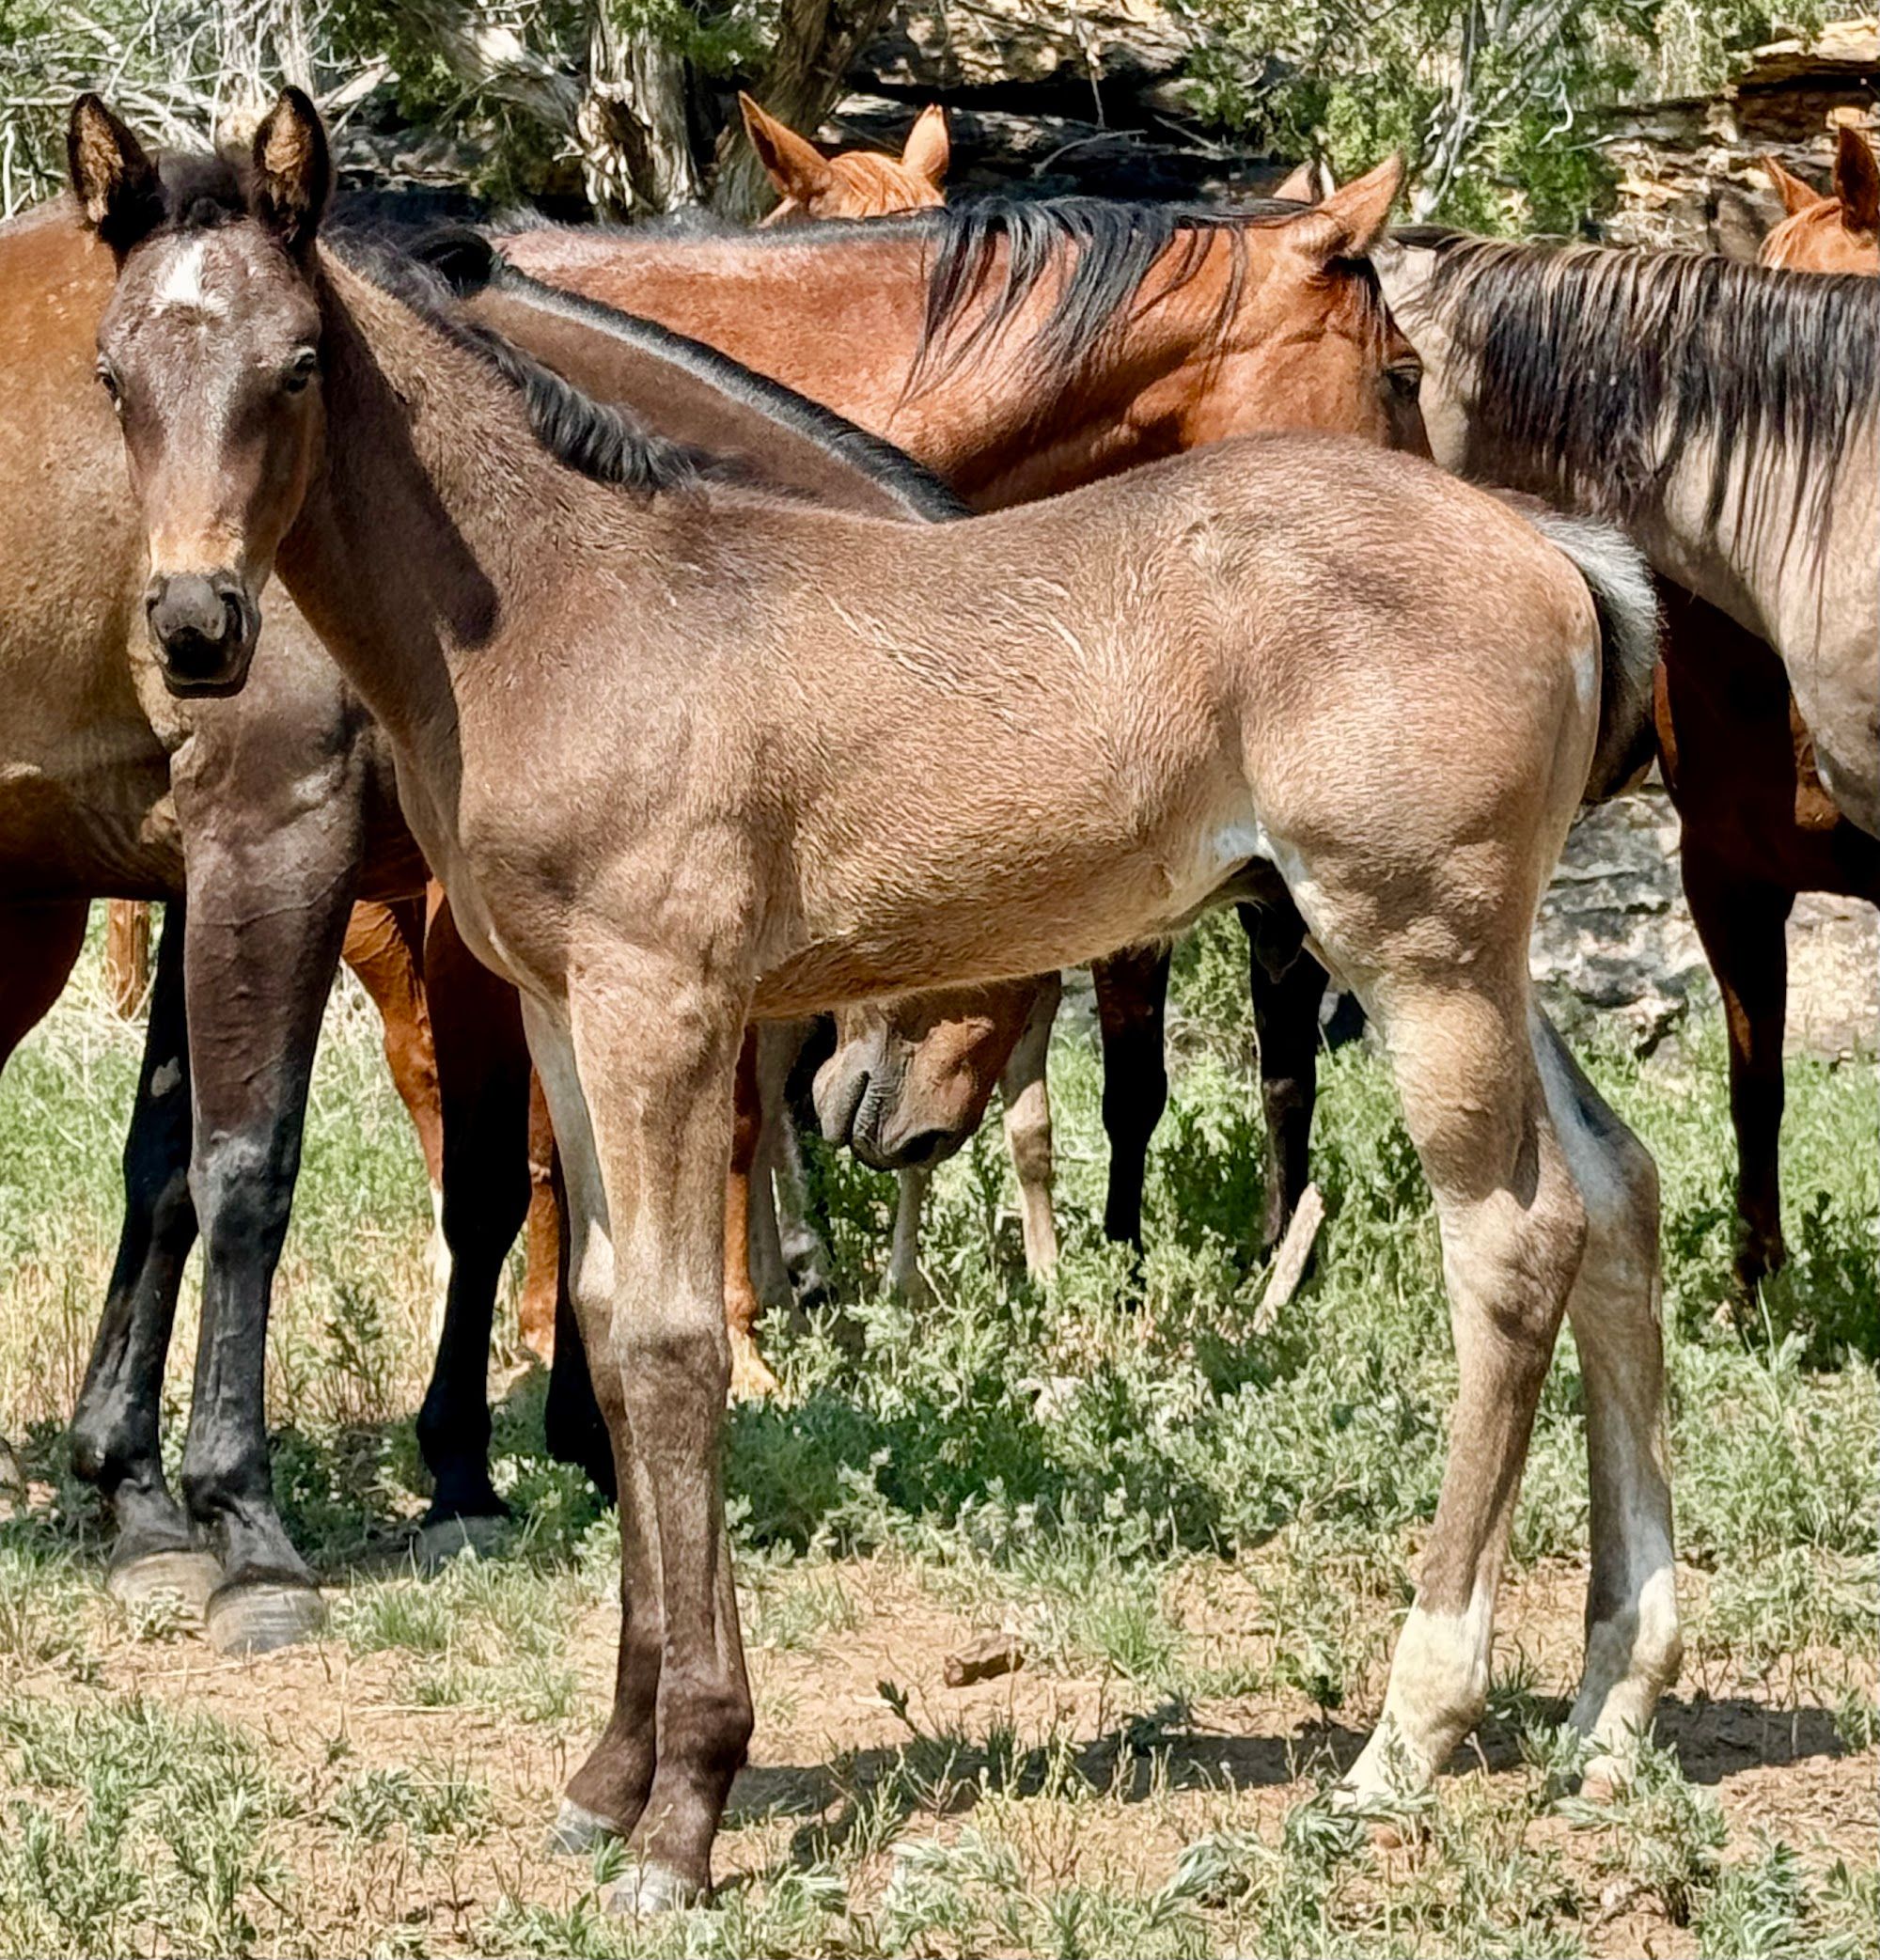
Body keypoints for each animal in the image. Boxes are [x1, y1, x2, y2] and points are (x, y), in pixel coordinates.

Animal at [0, 173, 963, 1653]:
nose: (905, 1124)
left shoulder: (247, 875)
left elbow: (178, 1170)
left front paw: (141, 1493)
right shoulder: (290, 854)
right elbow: (268, 1176)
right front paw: (261, 1523)